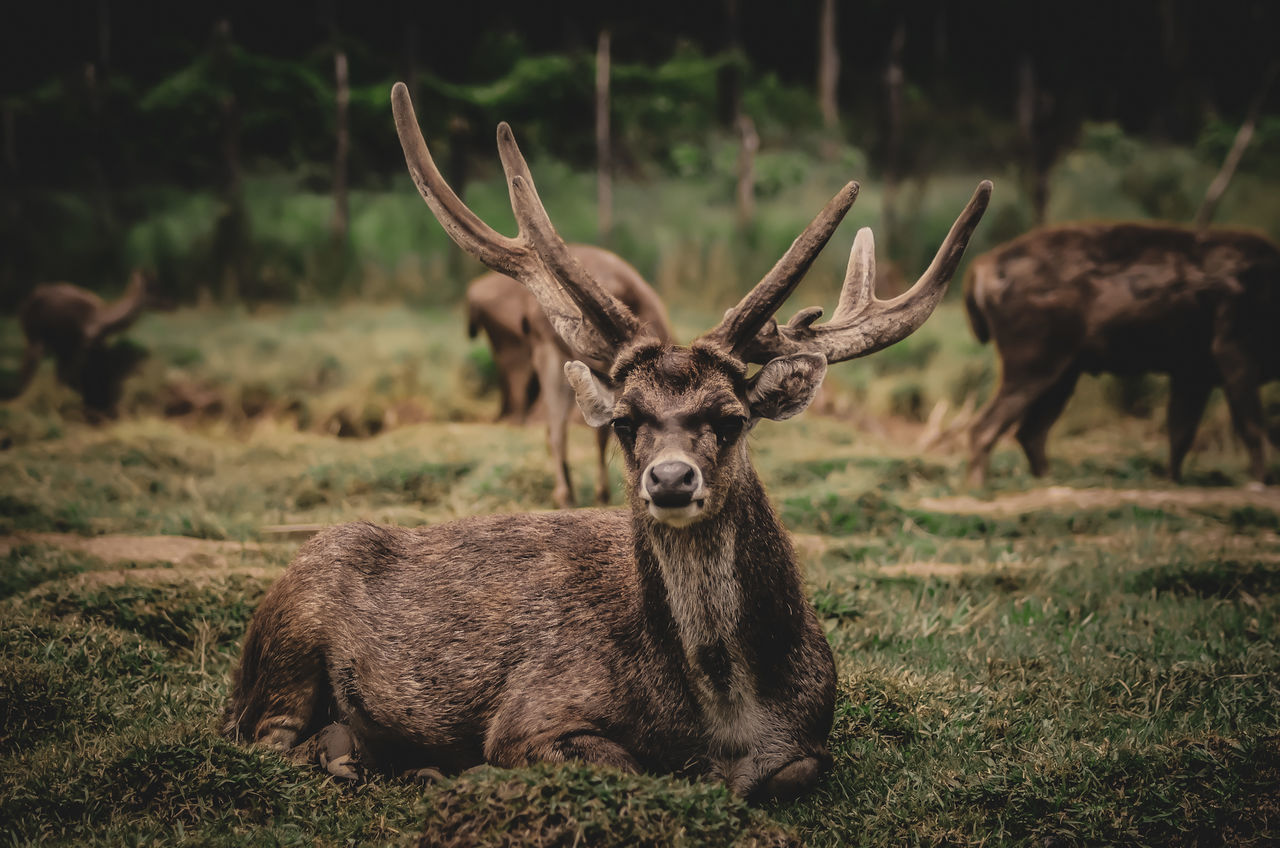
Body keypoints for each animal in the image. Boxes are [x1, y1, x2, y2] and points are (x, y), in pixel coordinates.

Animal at [9, 272, 153, 417]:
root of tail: (28, 300)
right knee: (28, 371)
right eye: (151, 284)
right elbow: (73, 379)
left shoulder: (84, 349)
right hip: (35, 340)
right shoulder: (80, 351)